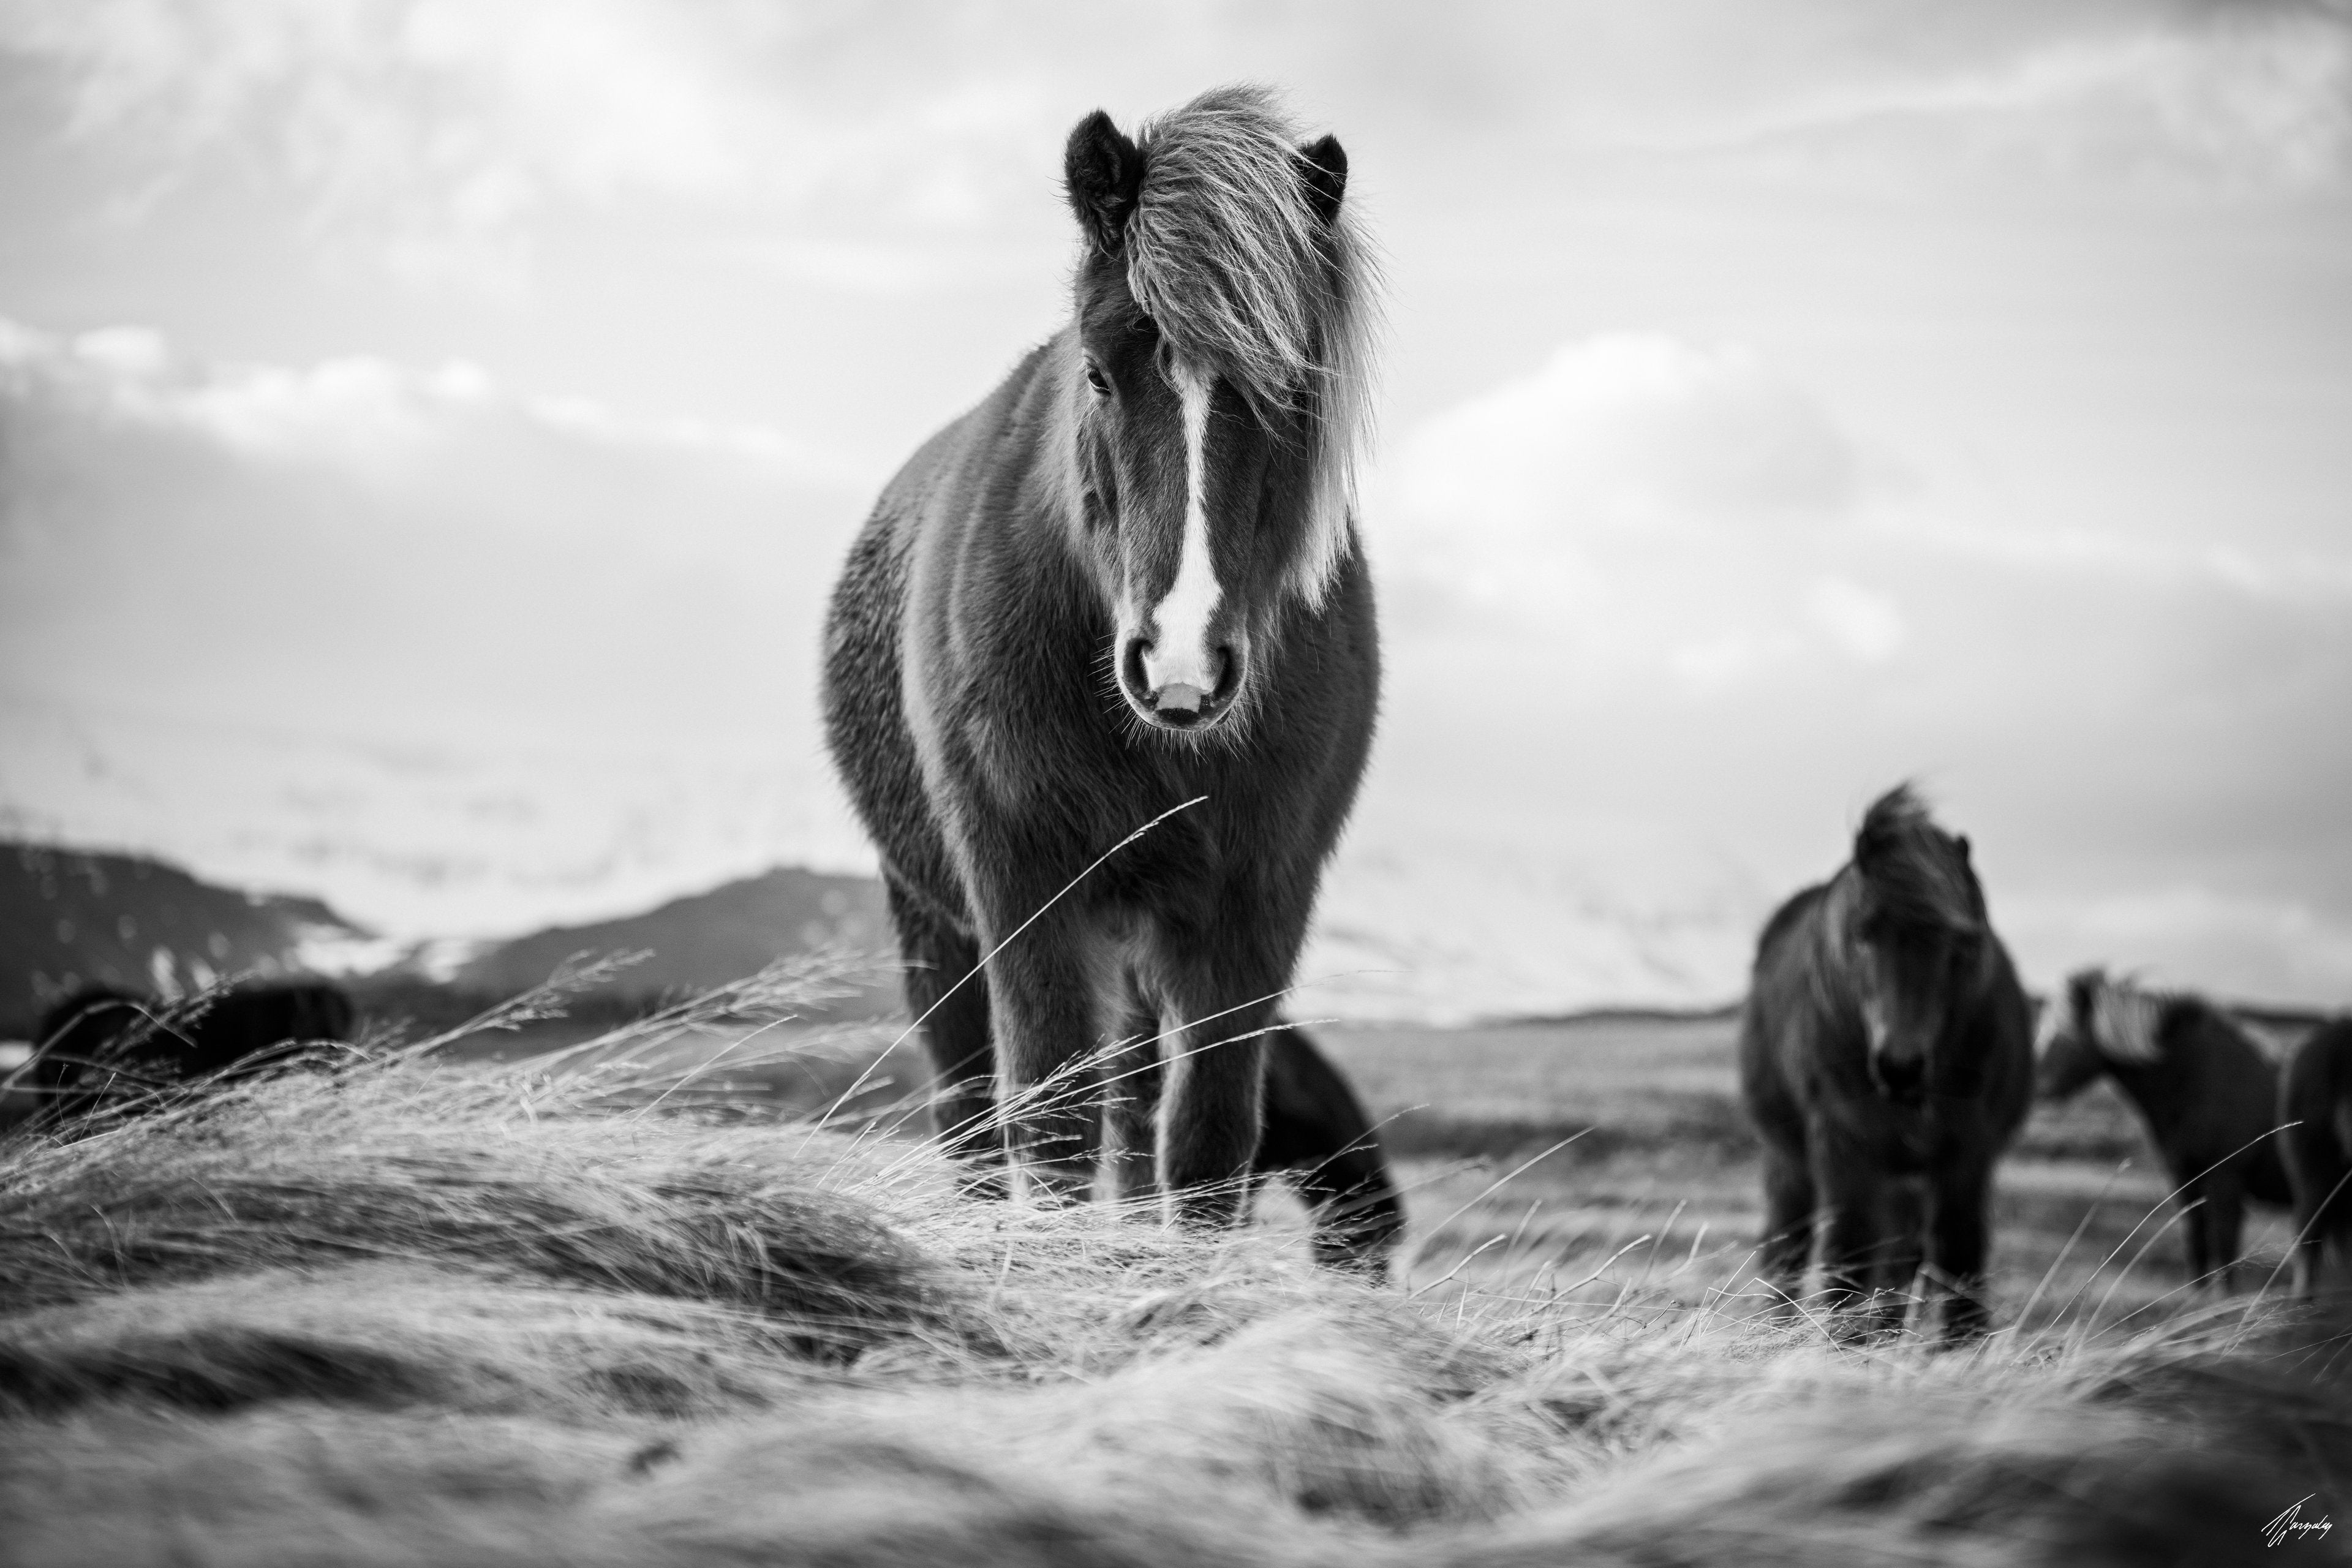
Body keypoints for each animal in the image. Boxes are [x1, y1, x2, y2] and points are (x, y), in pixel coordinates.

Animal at [821, 85, 1380, 1230]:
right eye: (1095, 373)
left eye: (1294, 393)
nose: (1181, 663)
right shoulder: (1026, 896)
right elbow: (1050, 1135)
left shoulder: (1254, 908)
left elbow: (1203, 1150)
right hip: (933, 922)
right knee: (976, 1126)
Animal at [1737, 786, 2033, 1335]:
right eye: (1862, 932)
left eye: (1963, 940)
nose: (1901, 1066)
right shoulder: (1843, 1147)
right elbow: (1848, 1259)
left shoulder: (1967, 1151)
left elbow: (1959, 1257)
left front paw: (1961, 1345)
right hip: (1793, 1162)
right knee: (1790, 1251)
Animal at [2034, 968, 2291, 1292]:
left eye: (2060, 1035)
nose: (2035, 1087)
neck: (2201, 1082)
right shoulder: (2186, 1177)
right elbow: (2196, 1241)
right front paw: (2197, 1300)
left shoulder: (2226, 1180)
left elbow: (2225, 1245)